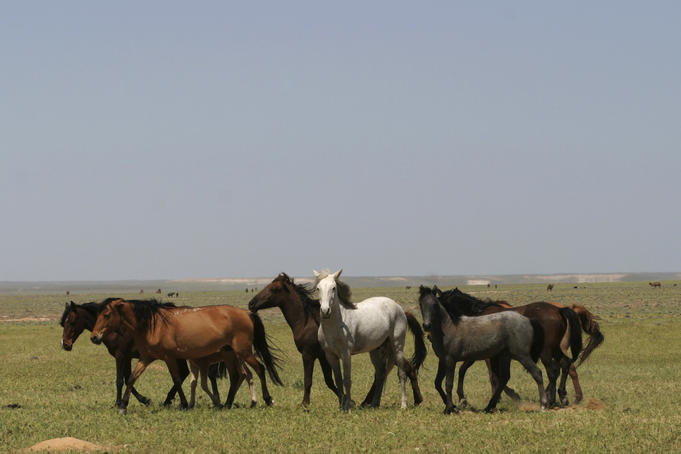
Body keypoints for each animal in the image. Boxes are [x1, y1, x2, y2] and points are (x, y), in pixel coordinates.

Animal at [90, 298, 282, 414]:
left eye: (106, 314)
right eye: (97, 314)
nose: (94, 337)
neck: (154, 325)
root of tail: (246, 313)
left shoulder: (169, 357)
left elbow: (176, 379)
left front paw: (183, 404)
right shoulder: (146, 358)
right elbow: (131, 378)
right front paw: (123, 406)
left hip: (243, 352)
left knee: (260, 369)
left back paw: (267, 399)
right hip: (232, 355)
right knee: (238, 376)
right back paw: (226, 404)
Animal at [248, 273, 341, 407]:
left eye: (273, 289)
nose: (251, 304)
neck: (307, 321)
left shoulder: (308, 355)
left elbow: (308, 380)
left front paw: (304, 403)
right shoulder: (322, 356)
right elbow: (329, 381)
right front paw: (346, 400)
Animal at [314, 269, 426, 412]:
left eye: (333, 288)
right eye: (318, 288)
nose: (325, 311)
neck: (336, 325)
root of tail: (400, 309)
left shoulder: (346, 355)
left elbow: (347, 380)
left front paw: (347, 407)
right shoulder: (330, 355)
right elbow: (338, 380)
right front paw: (341, 407)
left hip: (397, 346)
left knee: (401, 373)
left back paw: (403, 405)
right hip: (376, 351)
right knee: (381, 374)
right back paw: (374, 404)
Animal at [418, 286, 547, 414]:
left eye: (435, 304)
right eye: (420, 304)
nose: (427, 326)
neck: (448, 328)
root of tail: (529, 320)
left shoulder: (451, 360)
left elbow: (448, 384)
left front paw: (450, 408)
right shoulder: (442, 360)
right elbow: (438, 382)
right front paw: (451, 406)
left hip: (522, 355)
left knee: (537, 373)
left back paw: (543, 405)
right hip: (505, 356)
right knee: (504, 378)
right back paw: (489, 406)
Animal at [434, 287, 582, 407]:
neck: (477, 314)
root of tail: (558, 310)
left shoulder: (486, 356)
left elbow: (491, 375)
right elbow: (473, 371)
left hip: (546, 352)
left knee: (552, 371)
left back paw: (551, 399)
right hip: (556, 349)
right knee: (565, 364)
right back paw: (561, 396)